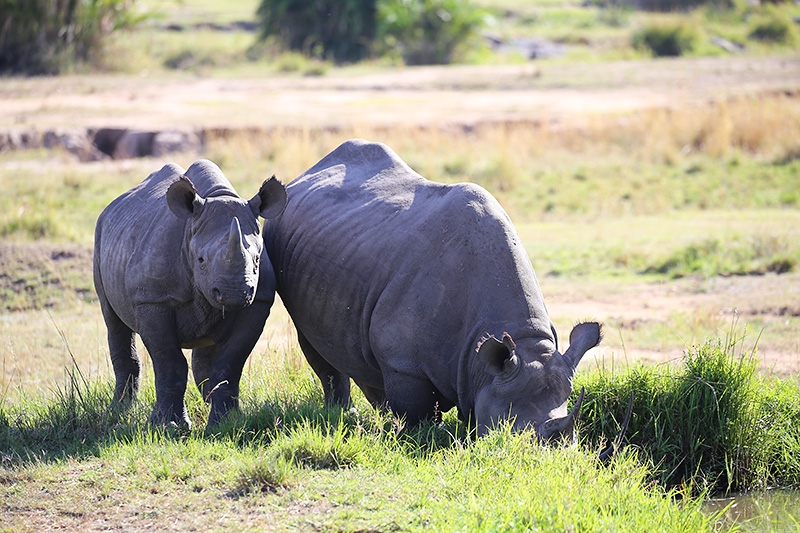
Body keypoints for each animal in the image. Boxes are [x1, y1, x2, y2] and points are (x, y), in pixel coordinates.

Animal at [95, 159, 288, 428]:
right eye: (201, 260)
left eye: (258, 260)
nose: (234, 293)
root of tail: (111, 207)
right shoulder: (152, 300)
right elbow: (170, 363)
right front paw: (169, 426)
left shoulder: (258, 301)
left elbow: (229, 363)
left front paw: (226, 423)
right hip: (100, 236)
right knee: (113, 321)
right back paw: (120, 409)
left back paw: (208, 401)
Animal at [262, 139, 600, 438]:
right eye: (517, 435)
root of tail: (306, 174)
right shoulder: (403, 364)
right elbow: (415, 411)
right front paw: (415, 435)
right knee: (314, 343)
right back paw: (343, 414)